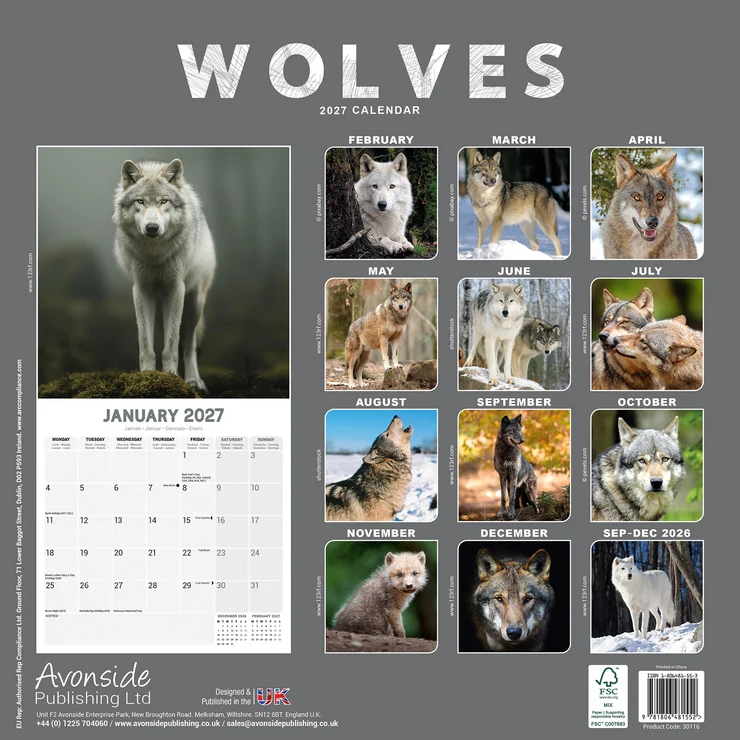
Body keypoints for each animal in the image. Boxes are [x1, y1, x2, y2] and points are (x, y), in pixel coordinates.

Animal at [113, 159, 215, 392]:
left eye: (164, 201)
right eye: (140, 201)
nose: (152, 227)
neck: (155, 254)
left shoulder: (175, 289)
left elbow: (171, 345)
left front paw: (171, 377)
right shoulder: (142, 291)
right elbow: (146, 345)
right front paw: (147, 377)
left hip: (194, 304)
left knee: (188, 344)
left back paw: (193, 380)